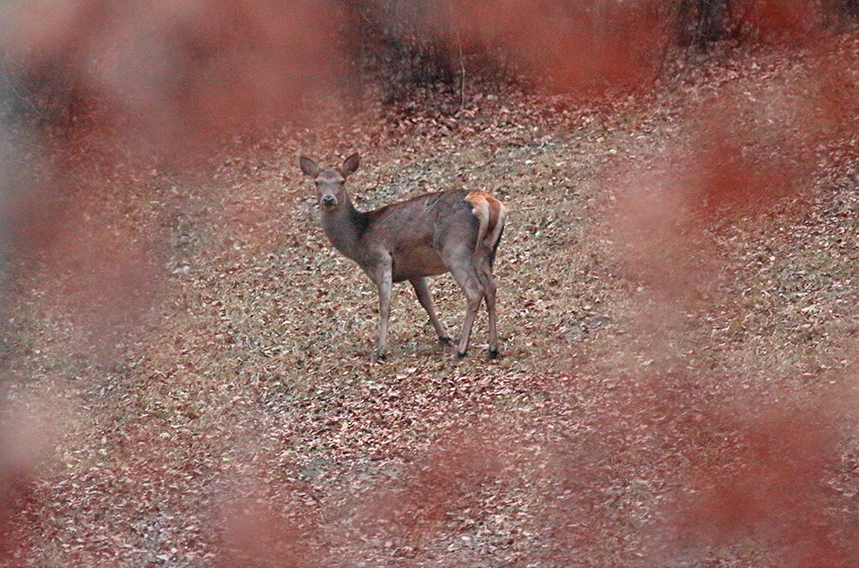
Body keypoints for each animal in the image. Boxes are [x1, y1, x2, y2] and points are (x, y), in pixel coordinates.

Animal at [300, 153, 508, 362]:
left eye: (342, 181)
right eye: (317, 182)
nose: (328, 198)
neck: (358, 239)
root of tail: (489, 203)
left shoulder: (381, 259)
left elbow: (385, 305)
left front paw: (381, 351)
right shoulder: (414, 270)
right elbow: (425, 300)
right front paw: (443, 336)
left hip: (455, 248)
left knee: (474, 290)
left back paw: (462, 350)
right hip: (485, 252)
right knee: (491, 287)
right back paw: (492, 349)